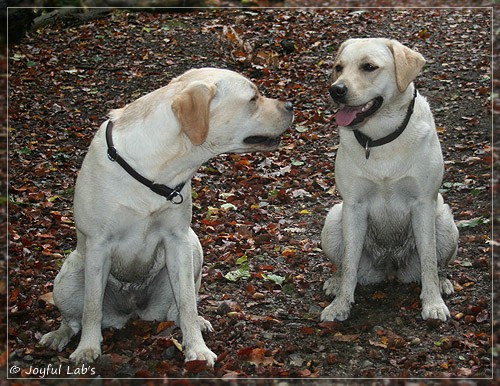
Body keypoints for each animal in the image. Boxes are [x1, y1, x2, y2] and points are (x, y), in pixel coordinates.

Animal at [41, 68, 294, 366]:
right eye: (253, 98)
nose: (291, 106)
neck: (158, 166)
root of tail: (132, 310)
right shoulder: (98, 244)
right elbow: (91, 308)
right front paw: (87, 349)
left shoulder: (178, 241)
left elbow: (187, 304)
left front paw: (197, 348)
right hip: (69, 274)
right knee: (73, 319)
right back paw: (58, 335)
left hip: (193, 246)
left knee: (178, 309)